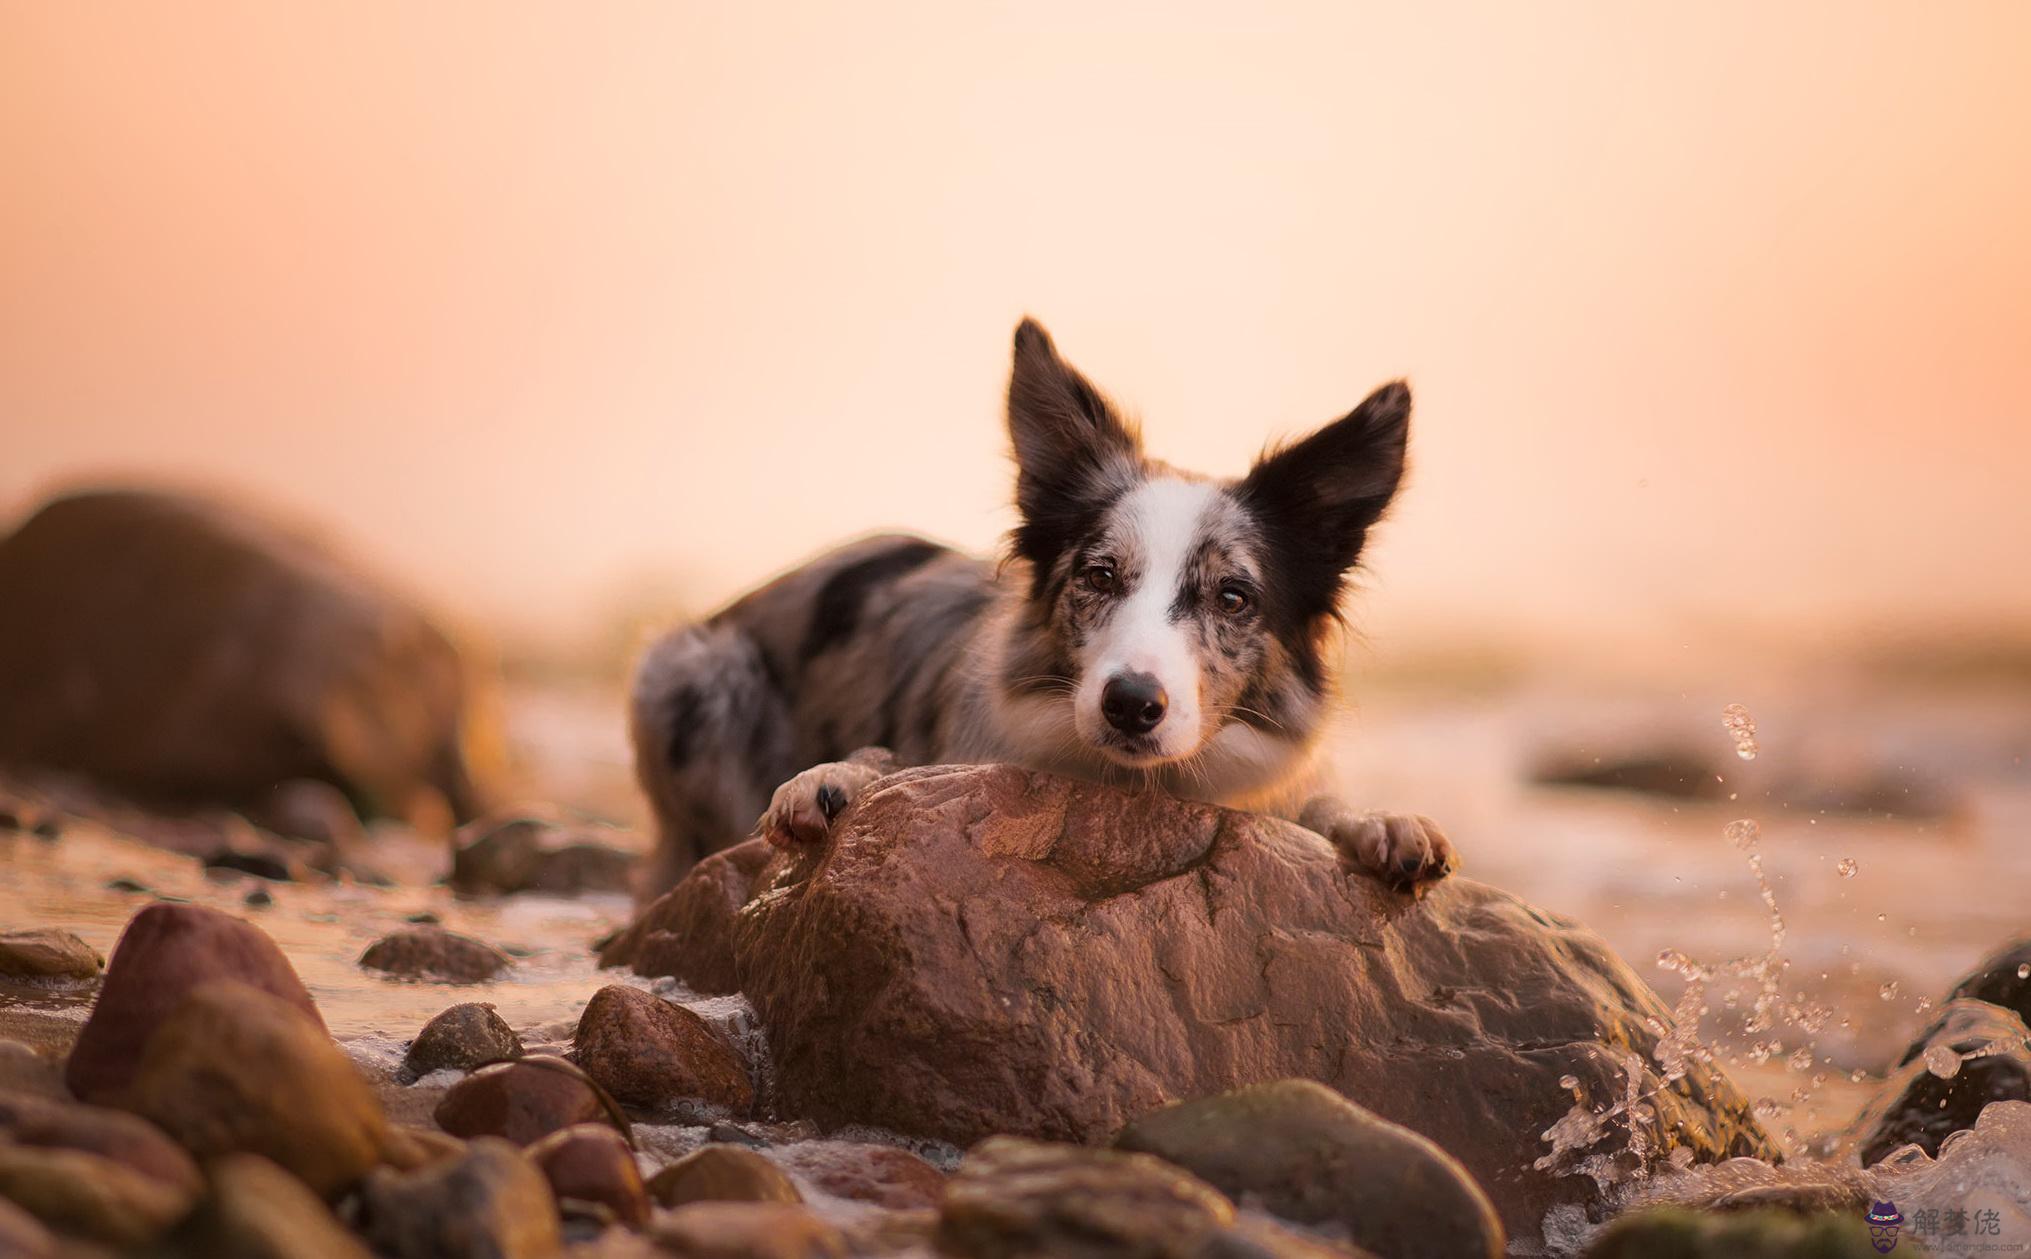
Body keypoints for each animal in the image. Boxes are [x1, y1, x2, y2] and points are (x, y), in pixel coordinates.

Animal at [625, 318, 1454, 901]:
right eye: (1098, 574)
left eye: (1232, 596)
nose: (1130, 704)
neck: (1133, 787)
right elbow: (884, 763)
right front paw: (833, 777)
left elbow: (1322, 808)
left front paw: (1381, 823)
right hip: (688, 673)